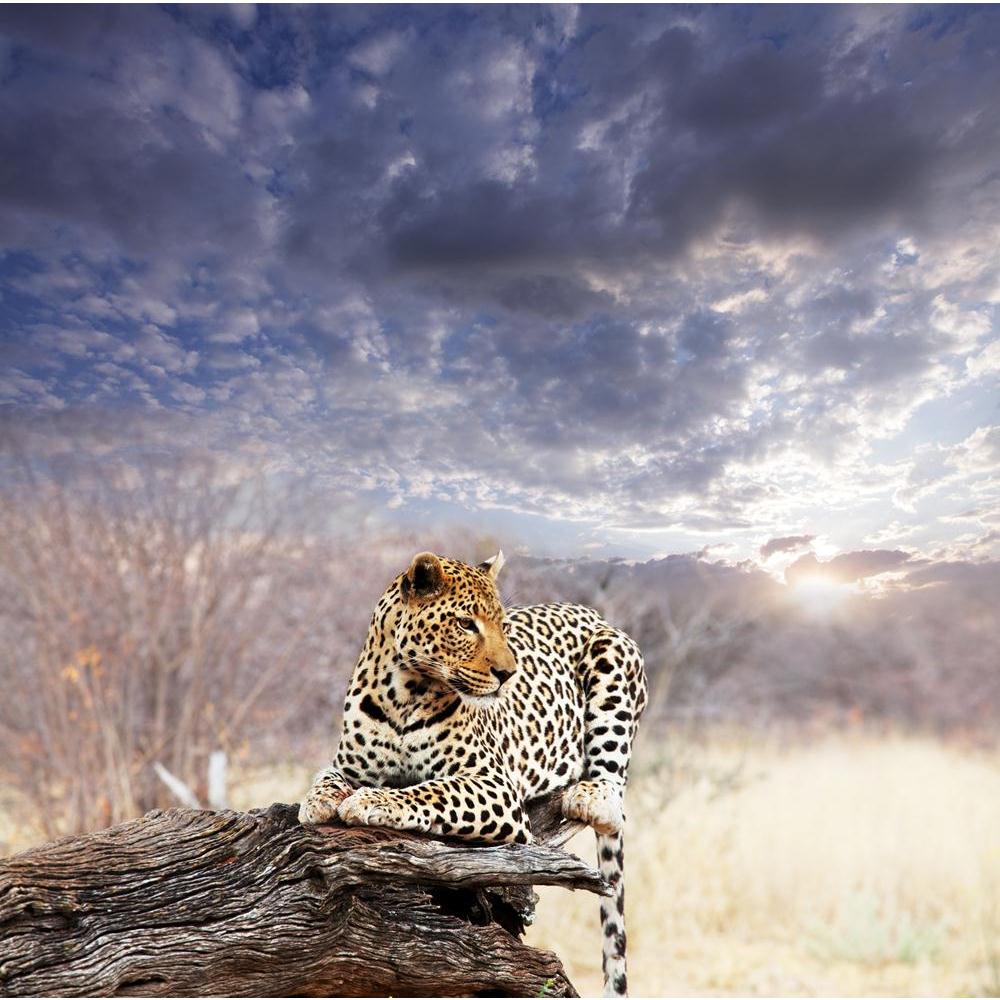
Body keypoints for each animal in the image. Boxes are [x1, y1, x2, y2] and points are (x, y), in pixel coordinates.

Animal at [299, 549, 648, 997]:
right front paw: (318, 801)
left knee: (612, 794)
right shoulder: (347, 763)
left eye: (502, 625)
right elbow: (327, 777)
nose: (508, 674)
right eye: (466, 624)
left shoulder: (494, 785)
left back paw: (589, 795)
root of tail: (591, 611)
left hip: (615, 657)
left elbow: (432, 790)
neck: (403, 693)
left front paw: (373, 802)